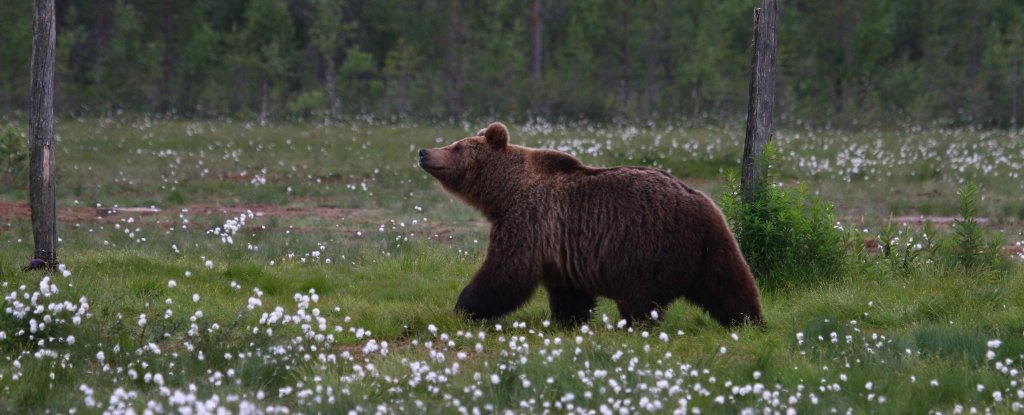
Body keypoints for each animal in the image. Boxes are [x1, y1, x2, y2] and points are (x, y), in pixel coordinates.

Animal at [415, 121, 761, 325]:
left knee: (640, 298)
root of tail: (701, 202)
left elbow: (505, 272)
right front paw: (569, 320)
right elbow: (569, 292)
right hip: (714, 244)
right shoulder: (560, 248)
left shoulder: (528, 221)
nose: (423, 151)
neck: (504, 192)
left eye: (456, 146)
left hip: (646, 246)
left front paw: (463, 307)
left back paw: (635, 325)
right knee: (729, 284)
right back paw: (750, 321)